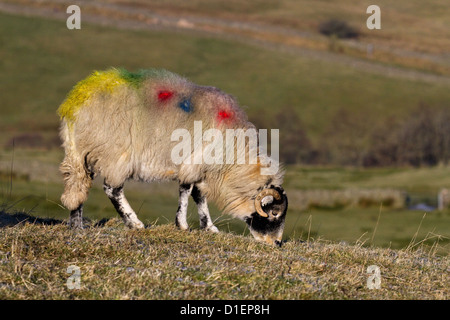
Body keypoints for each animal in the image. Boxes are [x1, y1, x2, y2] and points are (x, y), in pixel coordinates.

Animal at [58, 69, 288, 246]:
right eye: (274, 213)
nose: (276, 243)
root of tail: (75, 104)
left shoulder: (202, 168)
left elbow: (199, 196)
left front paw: (209, 227)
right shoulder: (195, 162)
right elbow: (186, 190)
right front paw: (182, 225)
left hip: (80, 154)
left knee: (78, 186)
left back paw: (77, 226)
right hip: (115, 154)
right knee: (112, 189)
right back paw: (134, 223)